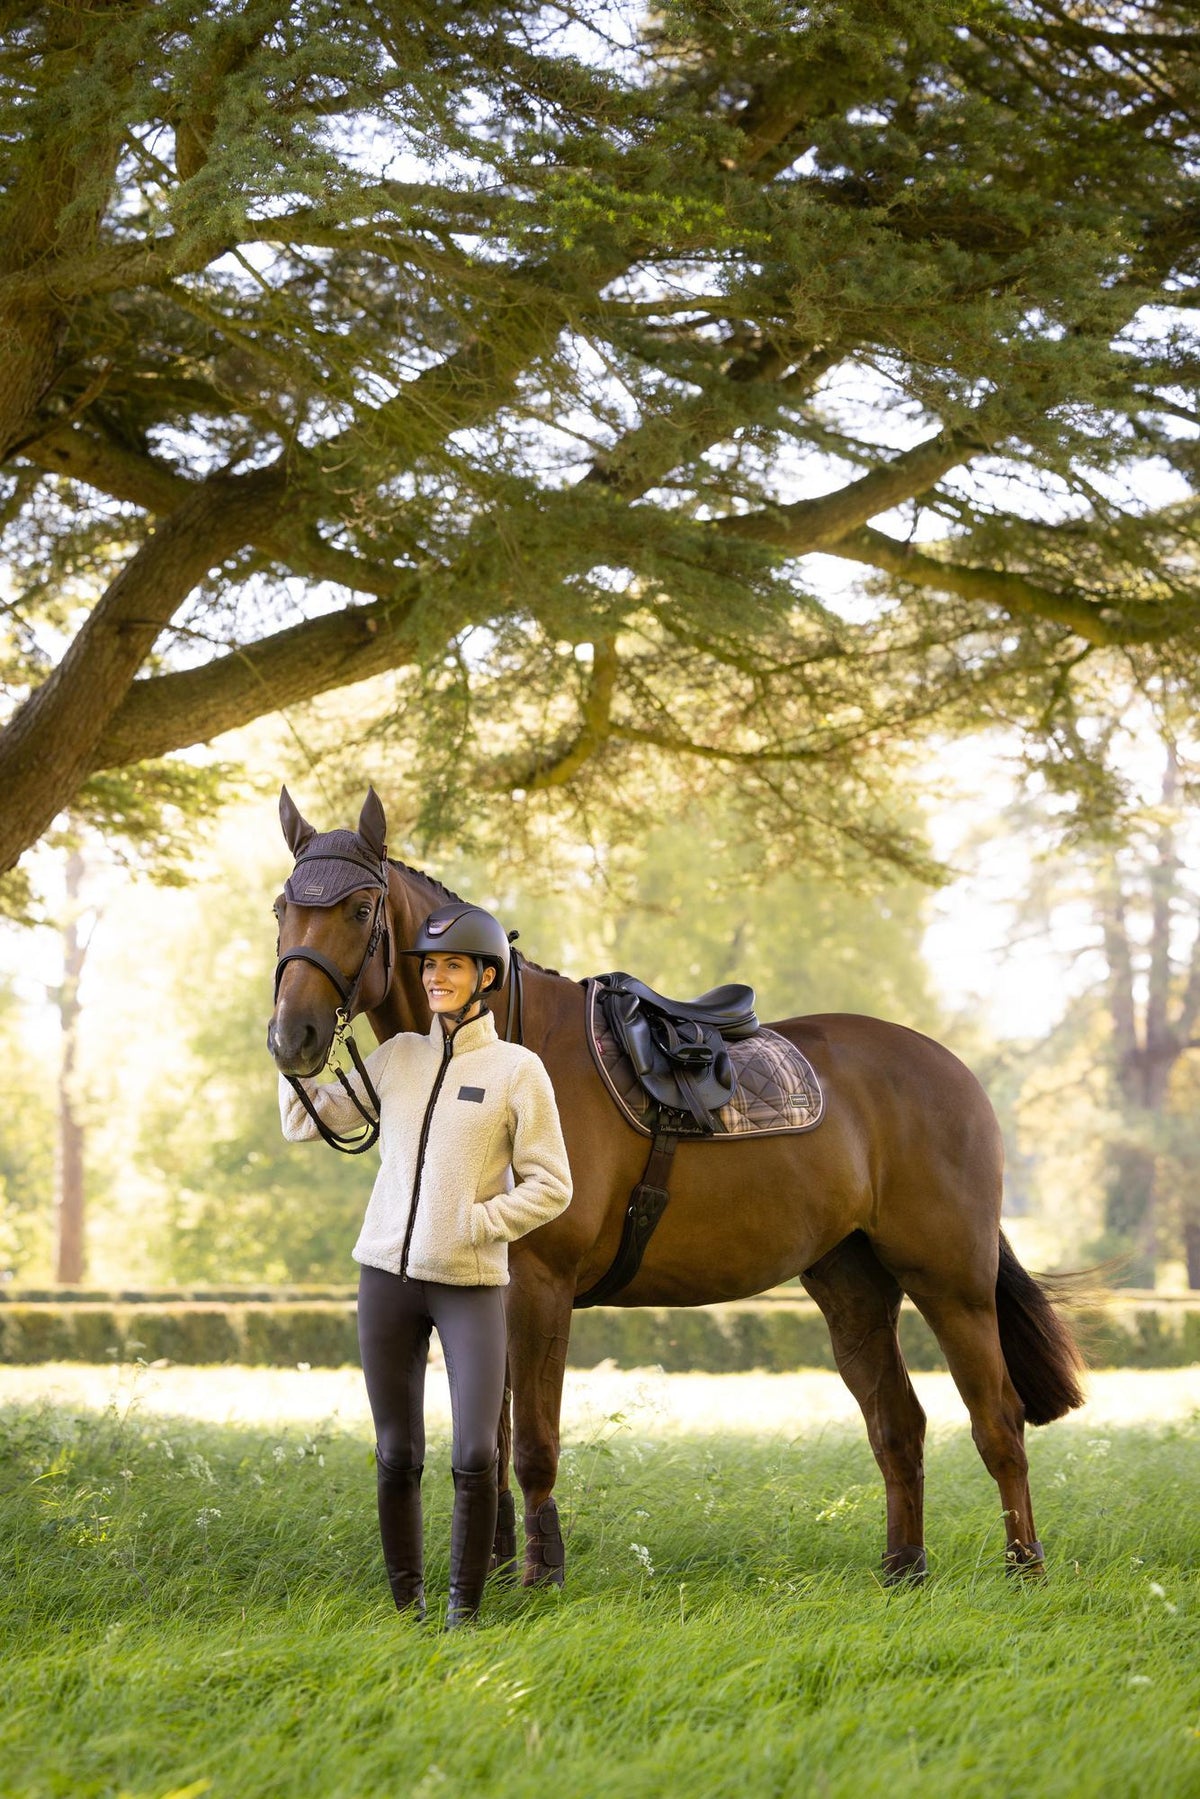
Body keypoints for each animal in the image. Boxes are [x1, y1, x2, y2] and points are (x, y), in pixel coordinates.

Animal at [267, 788, 1085, 1589]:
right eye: (282, 908)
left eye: (360, 909)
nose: (292, 1038)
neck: (506, 1048)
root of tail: (955, 1071)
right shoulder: (489, 1291)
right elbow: (489, 1444)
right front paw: (494, 1573)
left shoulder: (540, 1286)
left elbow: (532, 1444)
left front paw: (539, 1576)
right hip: (852, 1284)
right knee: (898, 1424)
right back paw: (903, 1570)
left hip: (951, 1281)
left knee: (998, 1419)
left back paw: (1024, 1568)